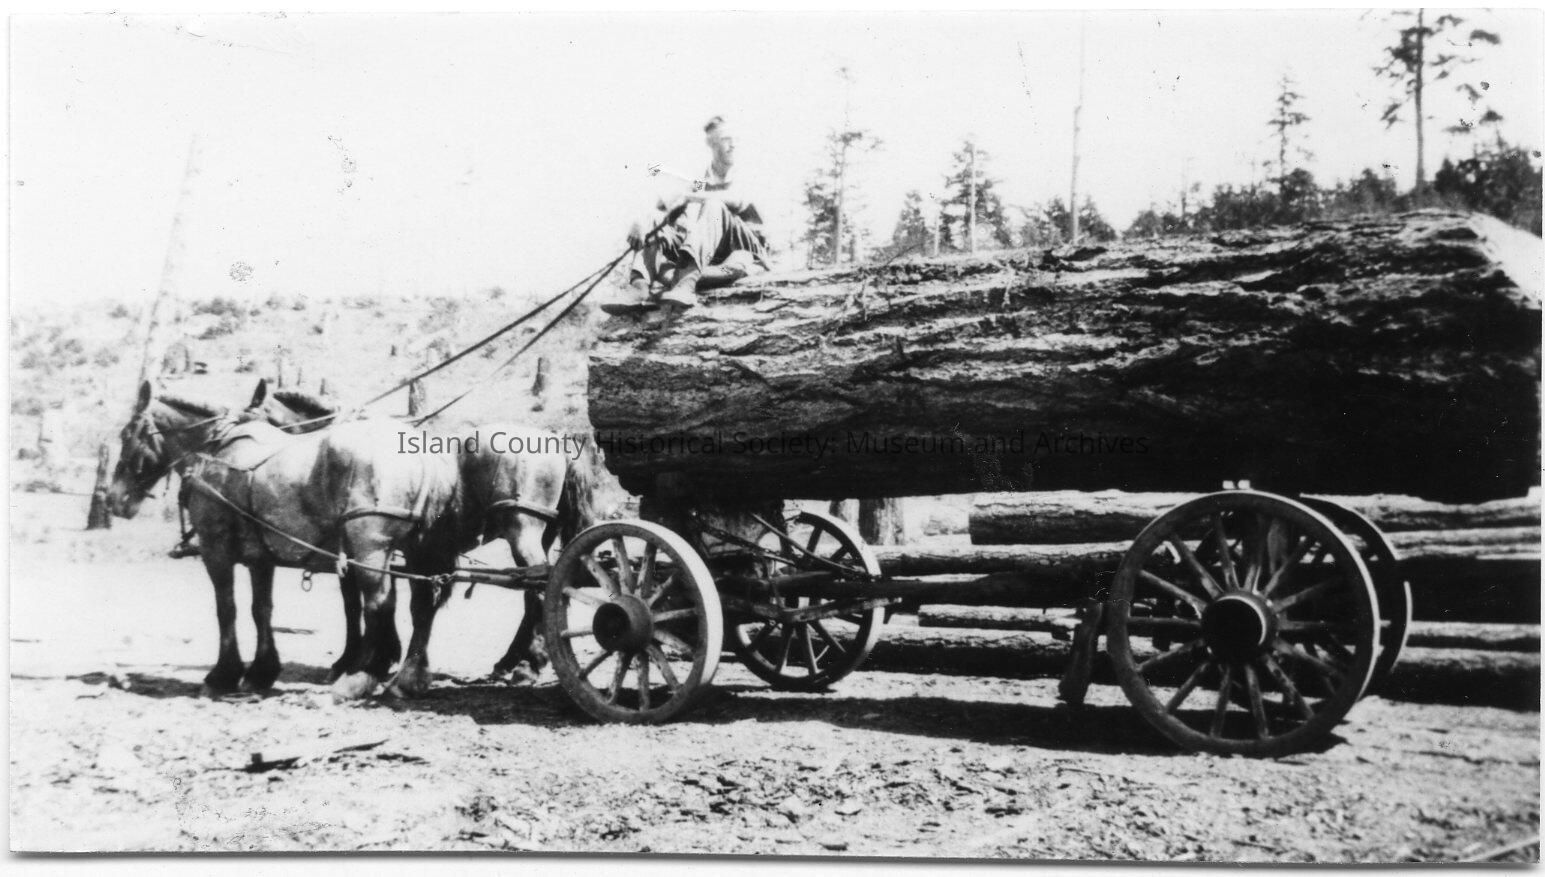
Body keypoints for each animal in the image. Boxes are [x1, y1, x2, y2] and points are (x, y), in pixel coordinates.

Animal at [108, 380, 462, 702]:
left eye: (126, 434)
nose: (114, 499)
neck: (216, 452)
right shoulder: (260, 557)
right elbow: (261, 609)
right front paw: (260, 672)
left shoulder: (215, 548)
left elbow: (227, 608)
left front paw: (223, 675)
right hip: (417, 549)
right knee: (421, 606)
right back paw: (408, 678)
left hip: (370, 549)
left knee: (380, 604)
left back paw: (360, 679)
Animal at [243, 379, 598, 690]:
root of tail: (557, 441)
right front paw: (383, 655)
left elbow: (354, 603)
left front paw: (352, 661)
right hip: (540, 537)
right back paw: (512, 661)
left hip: (522, 533)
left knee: (538, 592)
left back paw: (527, 666)